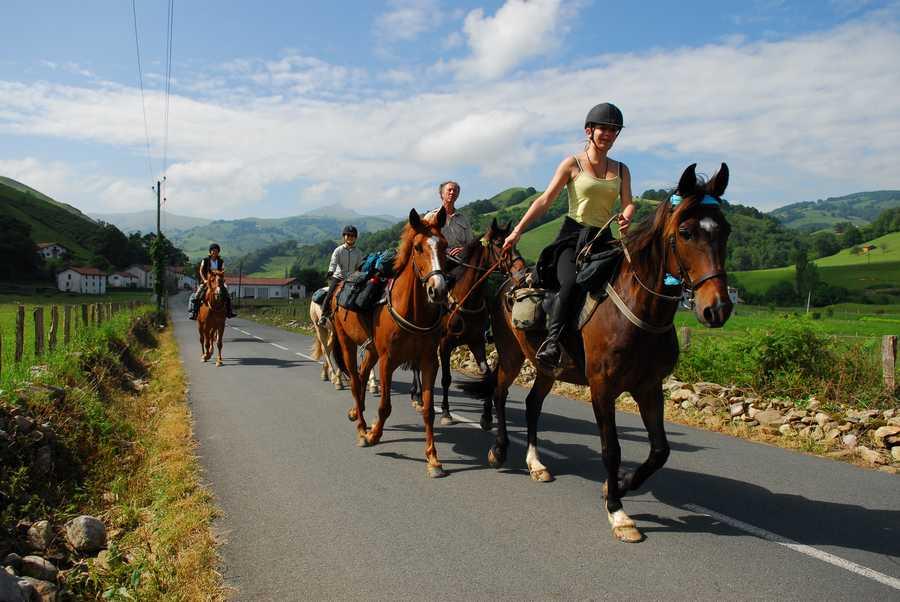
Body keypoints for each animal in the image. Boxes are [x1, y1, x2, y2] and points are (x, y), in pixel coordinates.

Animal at [330, 207, 451, 477]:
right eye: (418, 247)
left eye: (444, 246)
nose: (438, 290)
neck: (412, 310)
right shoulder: (388, 361)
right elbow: (385, 406)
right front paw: (374, 434)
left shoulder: (429, 362)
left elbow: (428, 410)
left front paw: (433, 458)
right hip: (347, 342)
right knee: (355, 380)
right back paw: (362, 427)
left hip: (372, 349)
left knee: (362, 374)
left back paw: (357, 413)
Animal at [407, 219, 527, 426]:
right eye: (498, 244)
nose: (521, 269)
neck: (466, 298)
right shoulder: (445, 344)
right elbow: (446, 379)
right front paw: (446, 413)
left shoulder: (476, 342)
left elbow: (487, 374)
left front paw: (486, 416)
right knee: (416, 364)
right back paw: (419, 397)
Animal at [464, 163, 733, 542]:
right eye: (685, 232)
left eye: (725, 230)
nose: (718, 308)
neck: (639, 308)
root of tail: (508, 283)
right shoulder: (602, 388)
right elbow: (612, 448)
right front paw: (618, 513)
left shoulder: (649, 388)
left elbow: (660, 450)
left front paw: (619, 484)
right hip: (511, 354)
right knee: (501, 394)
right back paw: (500, 449)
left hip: (547, 367)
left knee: (532, 404)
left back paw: (536, 464)